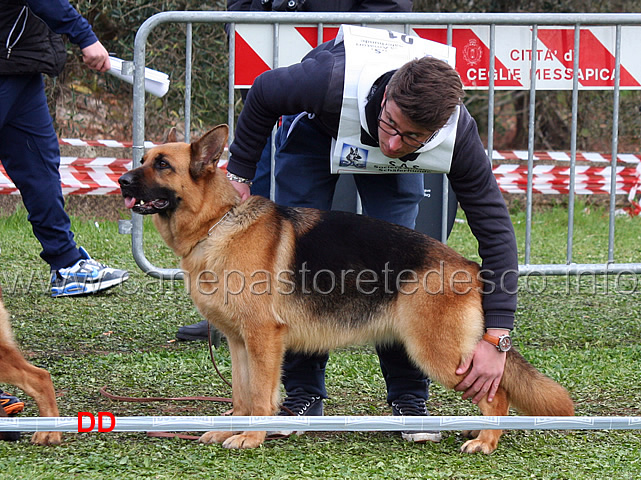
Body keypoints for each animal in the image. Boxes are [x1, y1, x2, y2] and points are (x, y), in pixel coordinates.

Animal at [117, 125, 572, 452]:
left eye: (163, 165)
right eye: (143, 160)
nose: (122, 181)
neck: (218, 223)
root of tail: (470, 267)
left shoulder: (263, 339)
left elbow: (261, 396)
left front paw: (252, 437)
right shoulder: (239, 342)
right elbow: (242, 393)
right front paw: (231, 427)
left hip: (437, 353)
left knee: (498, 395)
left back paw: (485, 441)